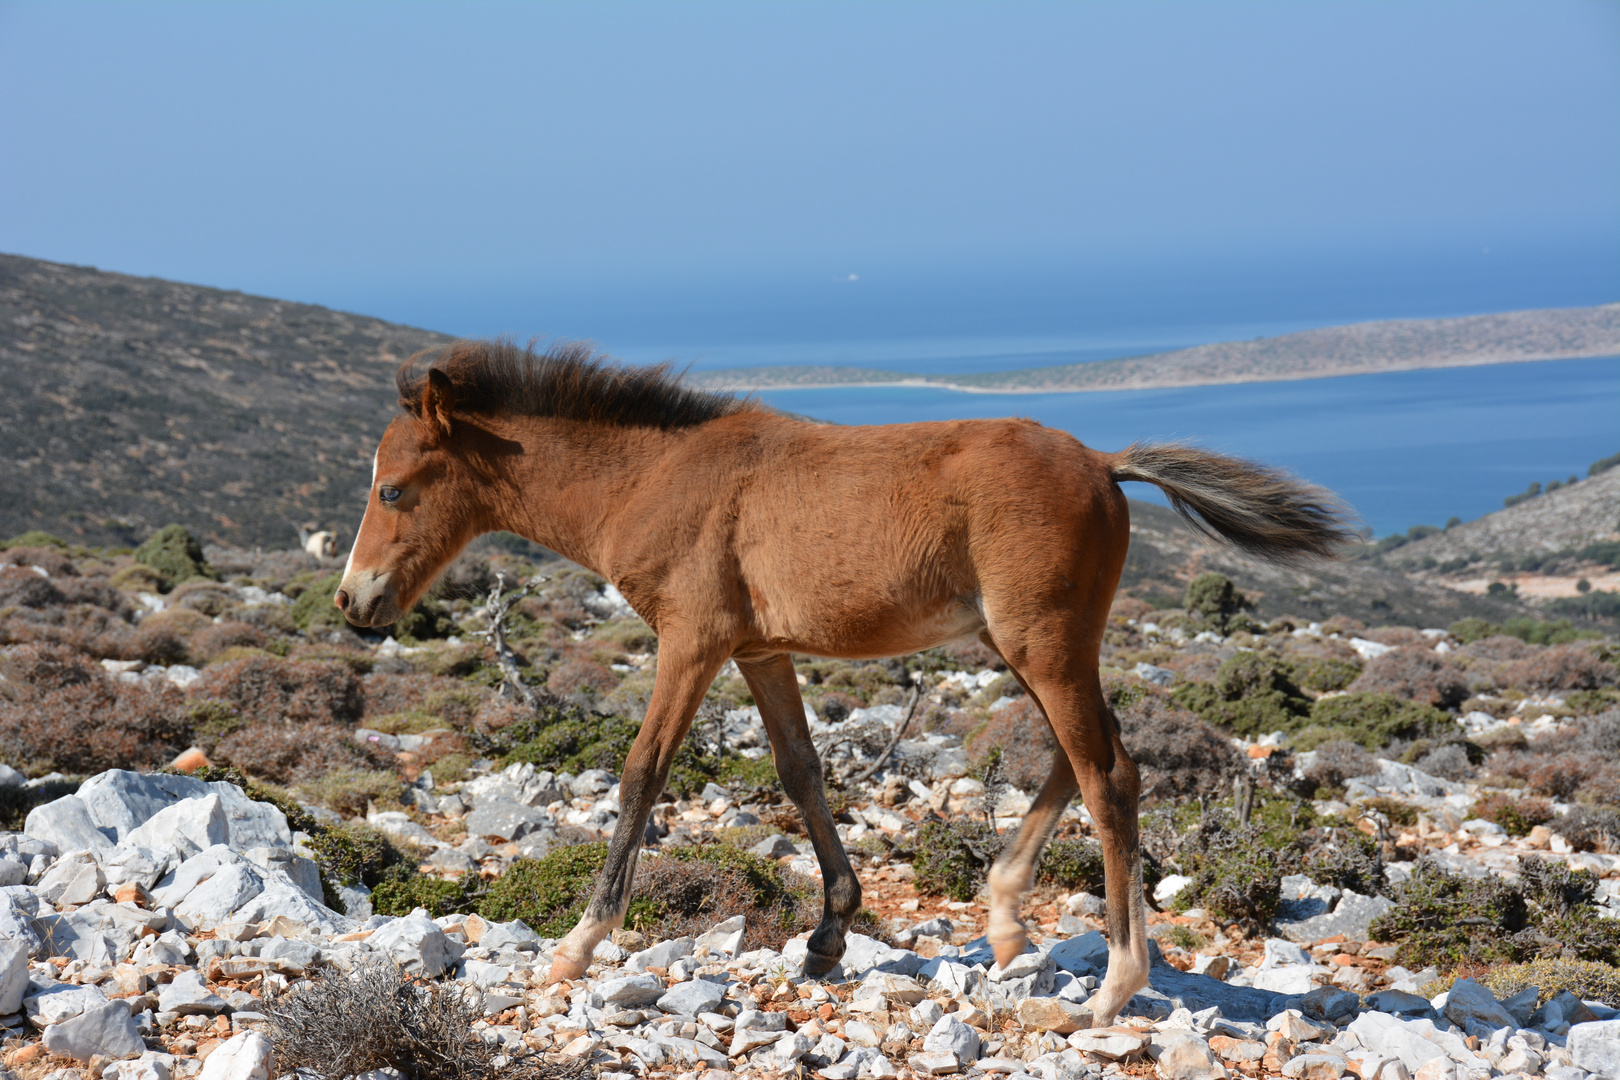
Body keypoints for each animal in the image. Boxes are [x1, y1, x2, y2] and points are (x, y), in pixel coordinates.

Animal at [335, 344, 1347, 1023]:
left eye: (393, 490)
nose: (354, 603)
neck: (650, 478)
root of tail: (1105, 464)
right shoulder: (758, 650)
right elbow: (801, 773)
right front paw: (829, 935)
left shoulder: (691, 641)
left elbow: (642, 773)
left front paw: (578, 946)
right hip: (1025, 644)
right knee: (1088, 754)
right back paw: (1007, 916)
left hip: (1045, 641)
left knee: (1112, 775)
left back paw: (1114, 987)